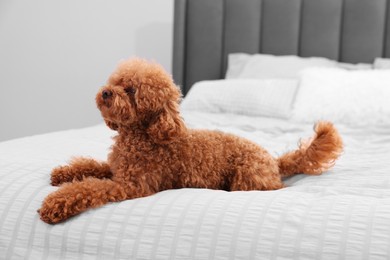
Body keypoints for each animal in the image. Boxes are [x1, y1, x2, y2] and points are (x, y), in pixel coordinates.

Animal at [38, 58, 342, 223]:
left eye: (132, 90)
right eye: (116, 81)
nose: (105, 92)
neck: (142, 135)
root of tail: (274, 161)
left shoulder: (131, 186)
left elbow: (89, 188)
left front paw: (54, 203)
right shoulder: (116, 168)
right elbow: (91, 167)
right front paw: (63, 173)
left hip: (247, 178)